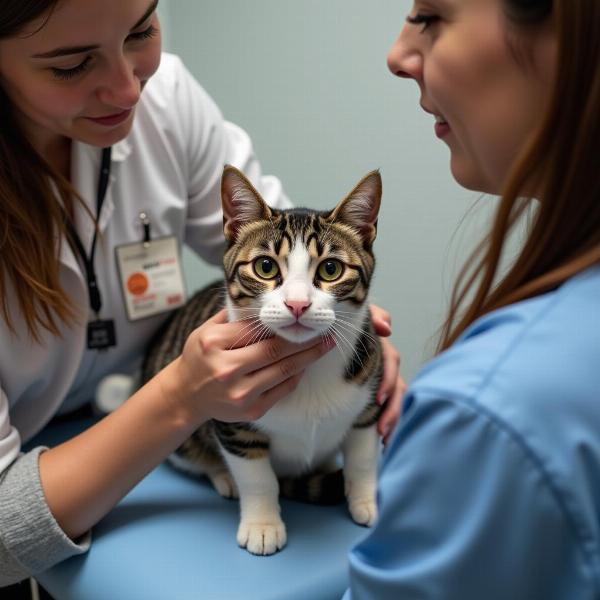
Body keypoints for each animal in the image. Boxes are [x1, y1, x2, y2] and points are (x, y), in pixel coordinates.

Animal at [142, 165, 384, 556]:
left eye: (331, 269)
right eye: (266, 267)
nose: (298, 304)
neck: (307, 367)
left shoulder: (371, 393)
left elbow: (362, 456)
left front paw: (364, 500)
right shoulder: (231, 417)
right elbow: (257, 476)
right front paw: (262, 524)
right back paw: (222, 477)